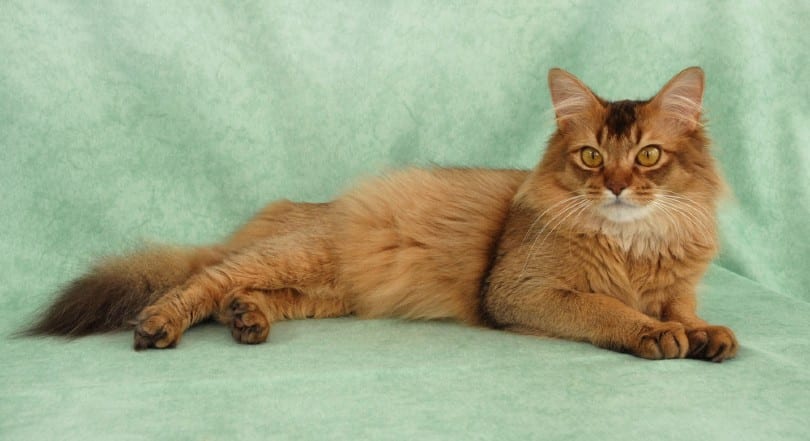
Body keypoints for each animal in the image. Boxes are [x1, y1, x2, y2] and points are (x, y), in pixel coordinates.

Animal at [28, 66, 740, 360]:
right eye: (592, 157)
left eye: (648, 156)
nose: (617, 188)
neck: (634, 244)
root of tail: (302, 208)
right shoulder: (521, 291)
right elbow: (607, 311)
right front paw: (651, 333)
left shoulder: (676, 287)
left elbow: (684, 311)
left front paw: (705, 333)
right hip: (300, 254)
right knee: (202, 279)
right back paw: (159, 326)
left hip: (326, 287)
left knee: (246, 291)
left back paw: (247, 319)